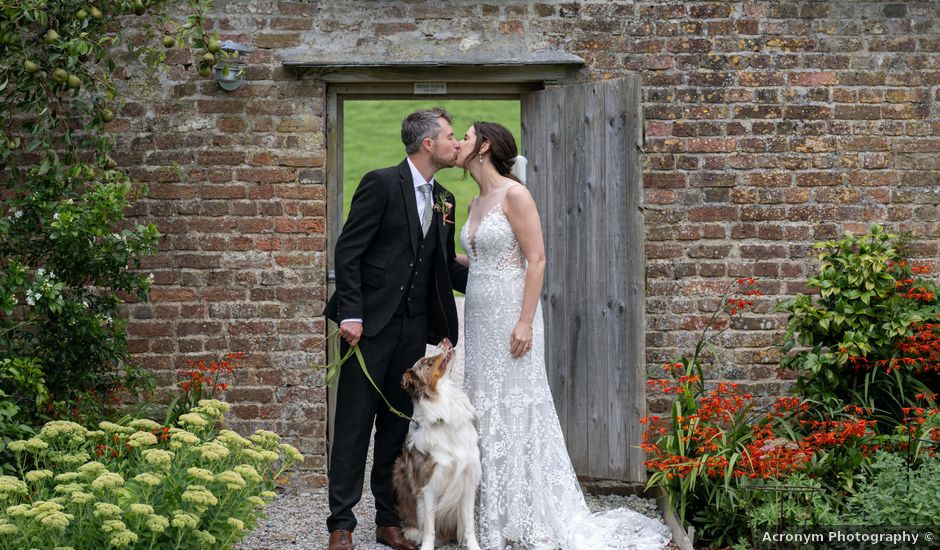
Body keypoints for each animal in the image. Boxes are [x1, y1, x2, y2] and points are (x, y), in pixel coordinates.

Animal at [394, 340, 484, 550]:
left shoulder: (468, 479)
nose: (445, 340)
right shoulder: (428, 485)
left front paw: (473, 546)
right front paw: (427, 546)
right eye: (427, 362)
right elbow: (429, 527)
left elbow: (469, 524)